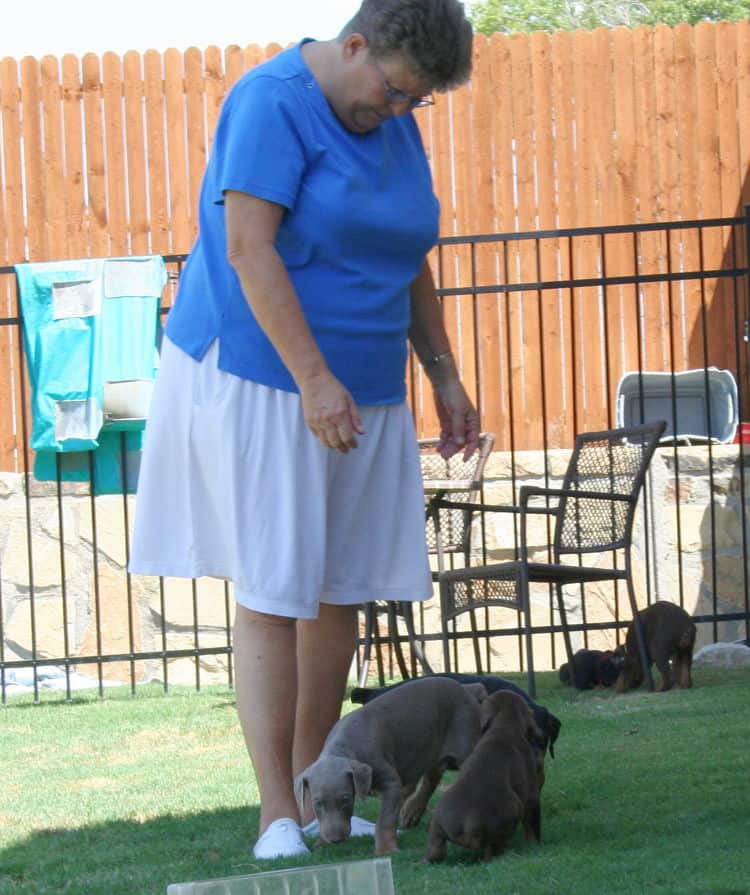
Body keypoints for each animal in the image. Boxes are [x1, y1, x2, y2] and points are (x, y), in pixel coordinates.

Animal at [294, 680, 488, 856]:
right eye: (317, 803)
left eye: (345, 800)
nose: (336, 840)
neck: (344, 745)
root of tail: (467, 688)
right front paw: (321, 842)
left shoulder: (390, 783)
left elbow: (385, 821)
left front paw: (386, 849)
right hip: (427, 749)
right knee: (430, 778)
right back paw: (412, 811)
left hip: (463, 745)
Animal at [426, 688, 544, 864]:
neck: (504, 725)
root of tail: (467, 825)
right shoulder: (531, 794)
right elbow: (533, 823)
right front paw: (536, 846)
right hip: (513, 807)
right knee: (492, 851)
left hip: (437, 828)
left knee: (435, 851)